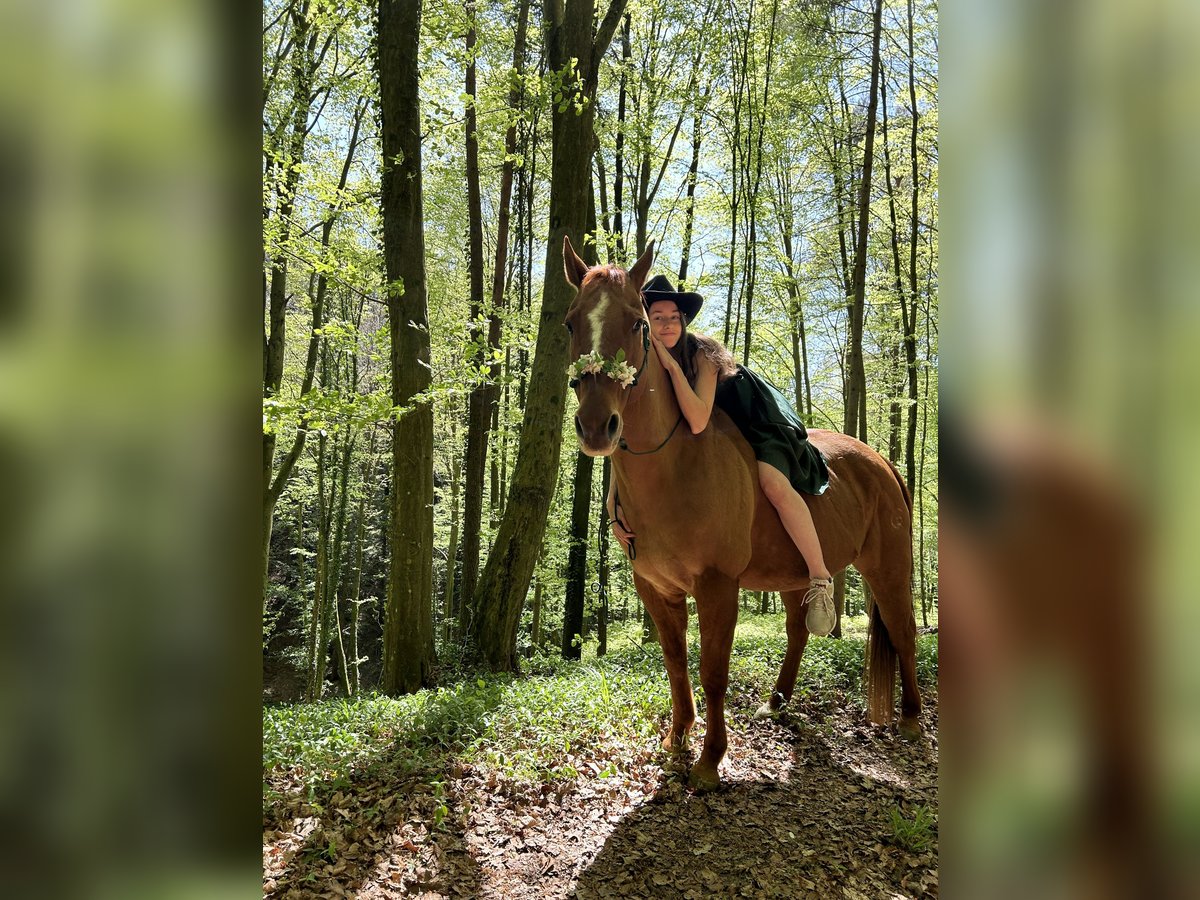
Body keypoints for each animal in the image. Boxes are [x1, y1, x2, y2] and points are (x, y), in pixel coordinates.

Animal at [562, 236, 922, 790]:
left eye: (638, 323)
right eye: (569, 323)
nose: (598, 426)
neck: (676, 466)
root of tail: (882, 462)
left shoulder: (717, 585)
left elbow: (713, 670)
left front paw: (710, 759)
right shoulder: (655, 587)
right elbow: (676, 663)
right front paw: (676, 741)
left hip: (888, 567)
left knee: (904, 631)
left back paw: (911, 719)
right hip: (800, 575)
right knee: (798, 632)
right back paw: (777, 703)